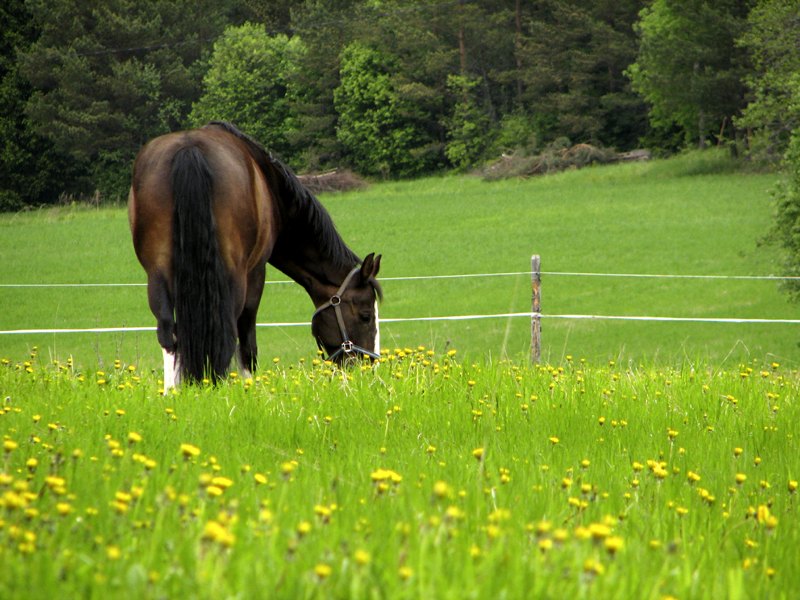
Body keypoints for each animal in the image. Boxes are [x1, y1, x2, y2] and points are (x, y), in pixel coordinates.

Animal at [127, 122, 382, 394]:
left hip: (157, 274)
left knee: (168, 332)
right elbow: (247, 340)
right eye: (366, 315)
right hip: (235, 277)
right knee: (228, 330)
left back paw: (173, 392)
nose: (365, 369)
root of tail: (189, 150)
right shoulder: (256, 272)